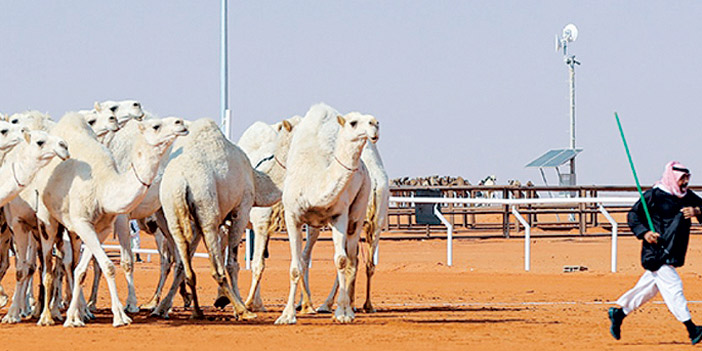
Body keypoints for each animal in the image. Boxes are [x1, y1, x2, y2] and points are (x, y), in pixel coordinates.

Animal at [153, 119, 280, 322]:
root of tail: (182, 182)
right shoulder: (241, 210)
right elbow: (232, 264)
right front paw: (237, 306)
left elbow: (184, 264)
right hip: (207, 210)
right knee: (217, 269)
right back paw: (244, 311)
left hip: (173, 213)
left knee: (186, 267)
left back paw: (197, 311)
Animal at [276, 103, 380, 326]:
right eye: (353, 122)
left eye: (373, 122)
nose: (375, 124)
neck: (313, 182)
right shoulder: (292, 216)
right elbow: (296, 267)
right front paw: (287, 315)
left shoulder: (339, 215)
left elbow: (340, 260)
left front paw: (342, 313)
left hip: (359, 210)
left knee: (352, 259)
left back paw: (346, 308)